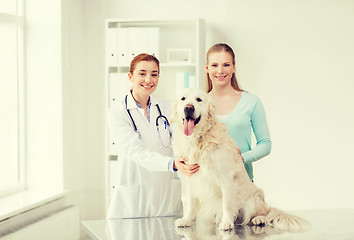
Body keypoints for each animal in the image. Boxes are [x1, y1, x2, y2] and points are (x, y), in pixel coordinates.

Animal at [171, 88, 306, 232]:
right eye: (183, 99)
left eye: (199, 100)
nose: (188, 108)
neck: (198, 140)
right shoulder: (191, 176)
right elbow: (191, 203)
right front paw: (187, 220)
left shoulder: (226, 177)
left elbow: (227, 204)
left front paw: (226, 222)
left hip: (254, 199)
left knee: (265, 213)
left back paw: (259, 219)